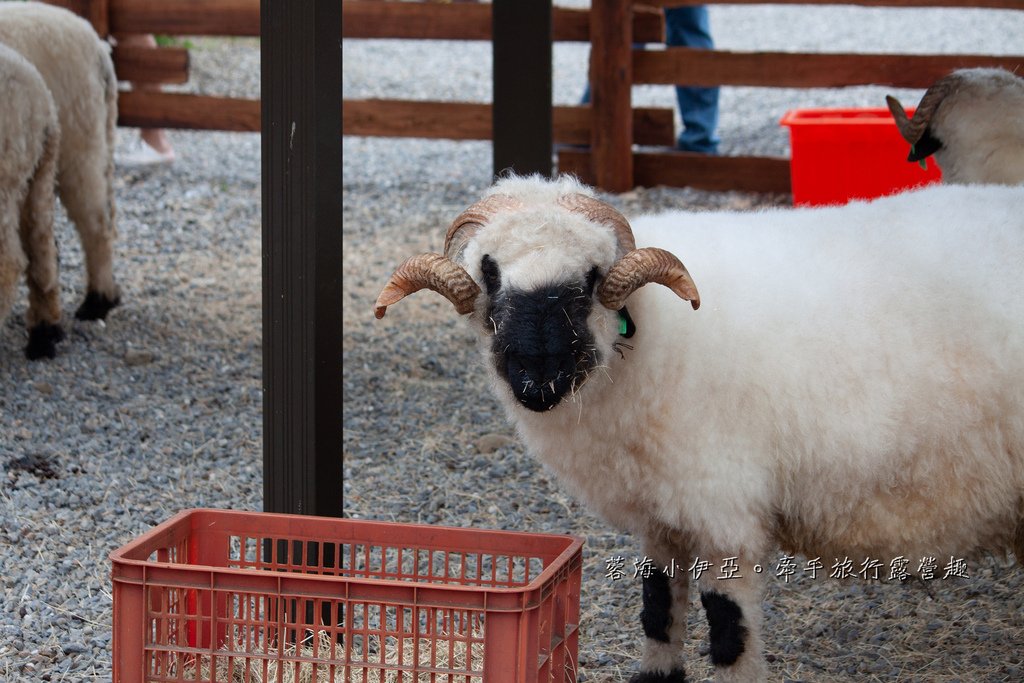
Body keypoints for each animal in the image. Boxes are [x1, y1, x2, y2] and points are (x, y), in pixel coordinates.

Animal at [374, 176, 1024, 683]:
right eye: (489, 272)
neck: (645, 346)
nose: (538, 379)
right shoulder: (663, 513)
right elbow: (657, 608)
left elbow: (729, 633)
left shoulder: (724, 511)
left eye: (591, 278)